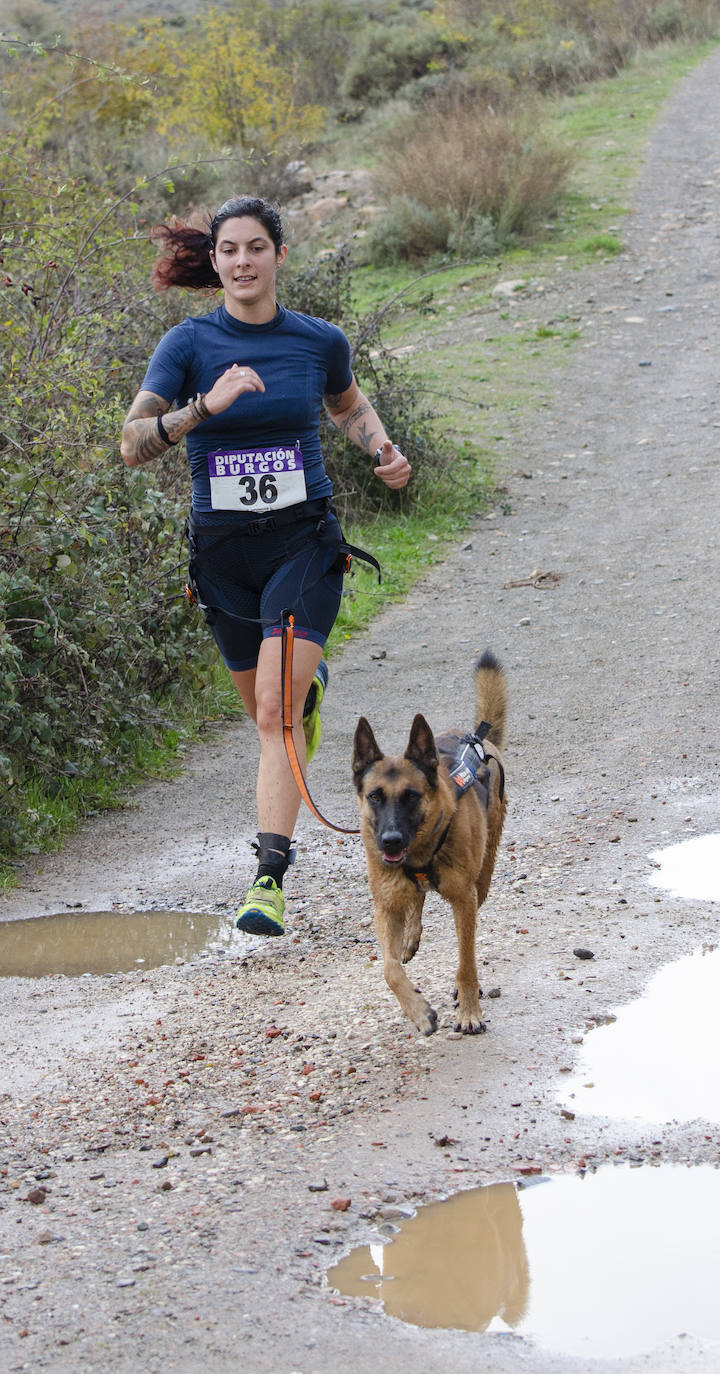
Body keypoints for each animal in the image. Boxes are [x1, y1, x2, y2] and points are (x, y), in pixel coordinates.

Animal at [351, 651, 508, 1033]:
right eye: (375, 796)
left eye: (411, 796)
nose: (391, 842)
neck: (420, 855)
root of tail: (478, 738)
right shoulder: (385, 907)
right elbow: (389, 969)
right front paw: (419, 1011)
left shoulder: (464, 901)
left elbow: (466, 962)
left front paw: (469, 1011)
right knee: (416, 901)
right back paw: (410, 935)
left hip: (482, 880)